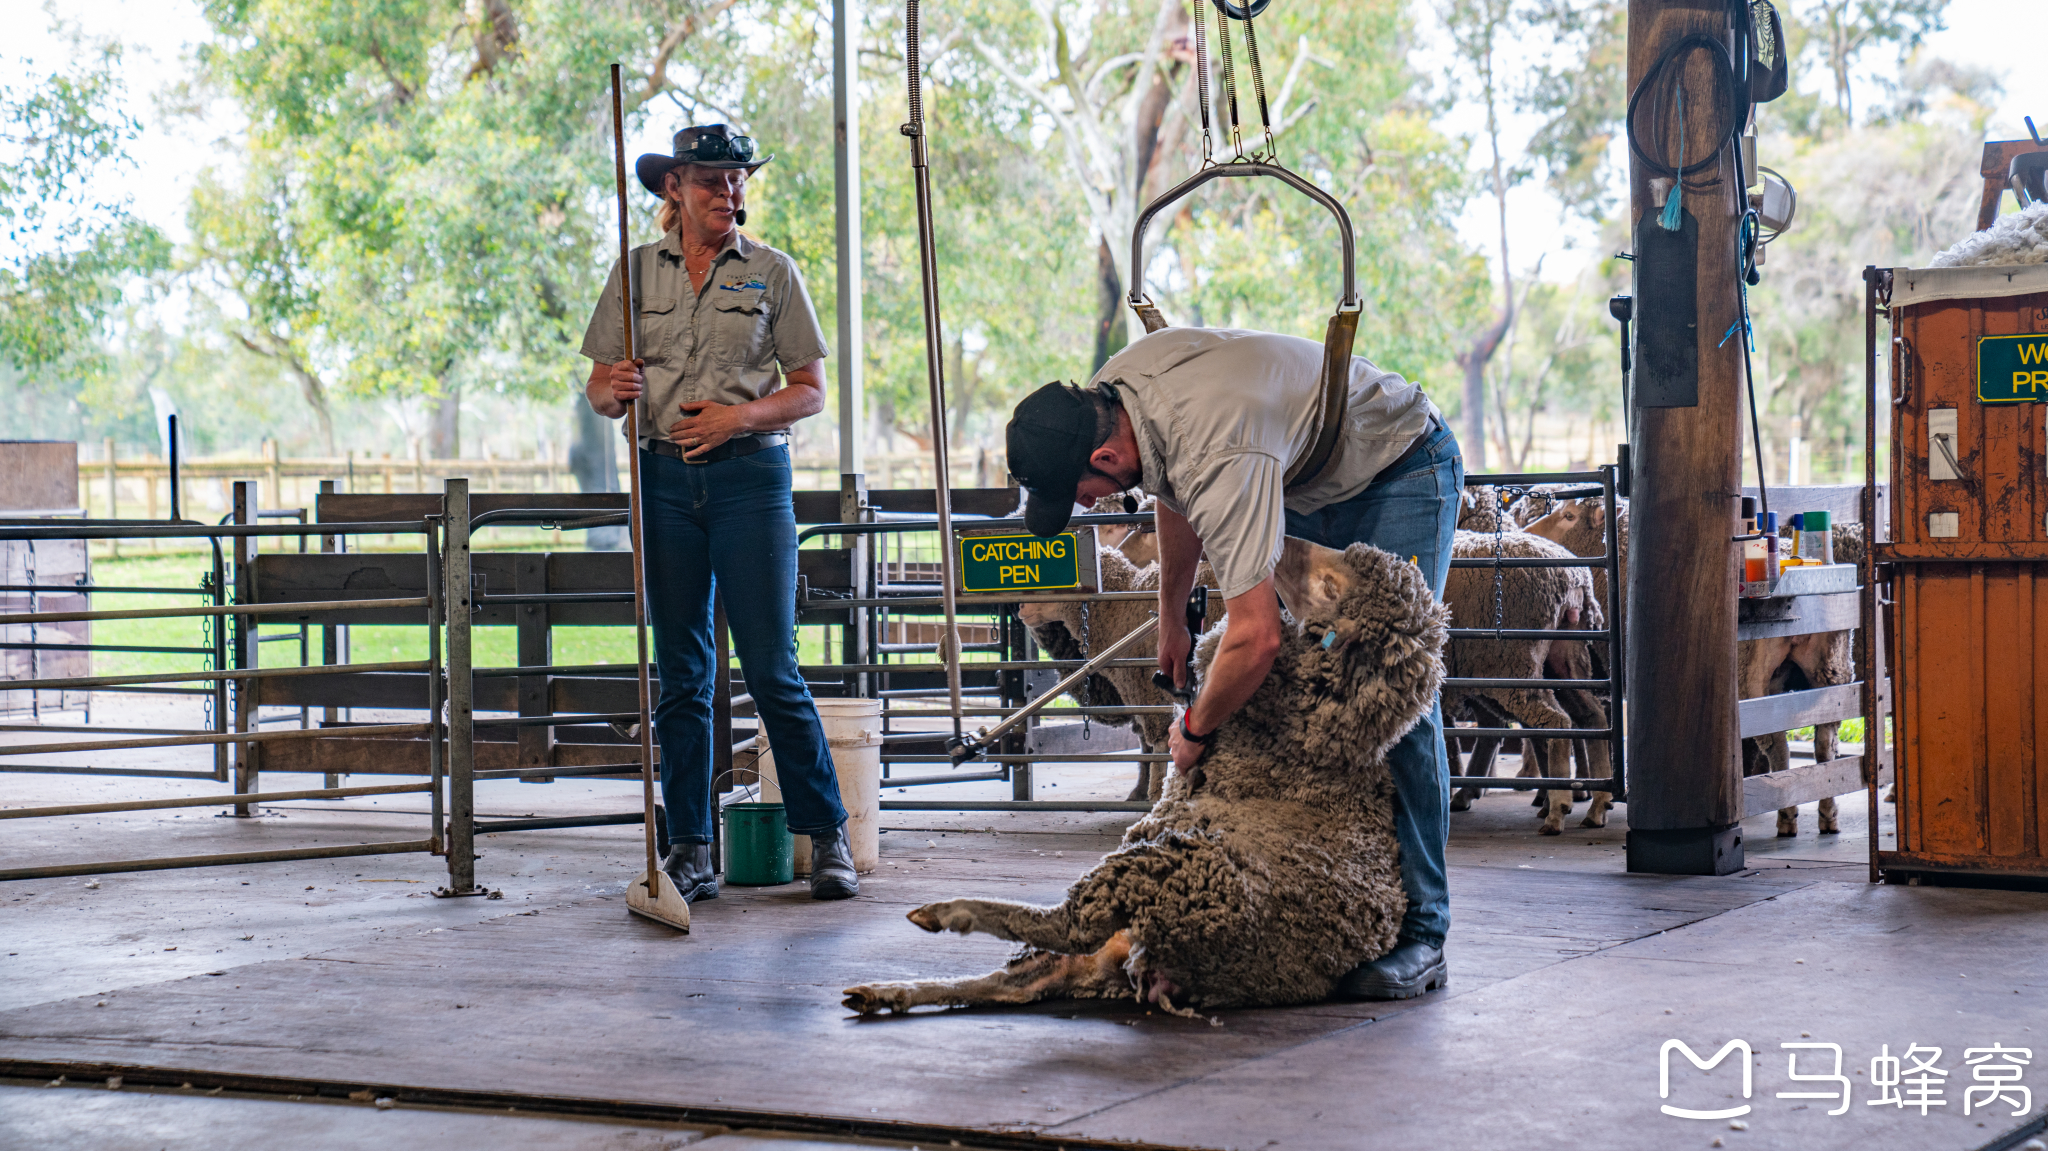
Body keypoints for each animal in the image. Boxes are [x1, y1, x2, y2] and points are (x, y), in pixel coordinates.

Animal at [839, 532, 1449, 1007]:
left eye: (1330, 587)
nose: (1280, 544)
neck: (1313, 740)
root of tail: (1161, 964)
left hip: (1155, 868)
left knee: (1065, 926)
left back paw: (947, 913)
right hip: (1110, 932)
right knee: (1016, 982)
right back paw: (888, 991)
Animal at [1441, 524, 1613, 827]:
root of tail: (1575, 578)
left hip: (1511, 665)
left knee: (1555, 721)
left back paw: (1557, 808)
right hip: (1563, 661)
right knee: (1591, 715)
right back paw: (1596, 806)